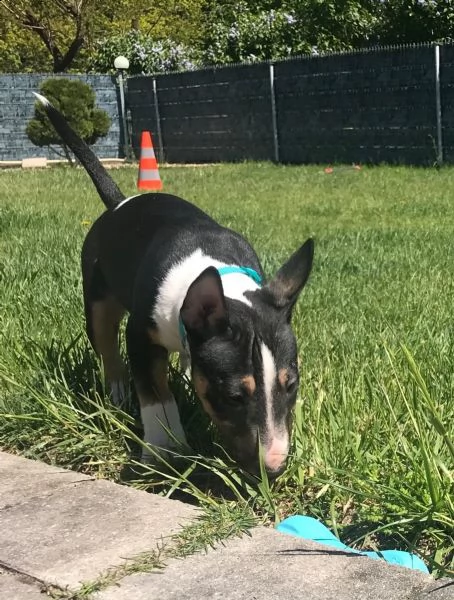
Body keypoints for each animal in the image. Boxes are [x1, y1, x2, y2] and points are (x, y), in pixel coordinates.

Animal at [35, 94, 314, 478]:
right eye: (233, 396)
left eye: (292, 385)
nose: (272, 469)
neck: (216, 271)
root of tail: (119, 203)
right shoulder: (139, 335)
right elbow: (154, 392)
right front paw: (164, 447)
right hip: (97, 301)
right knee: (107, 347)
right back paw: (118, 393)